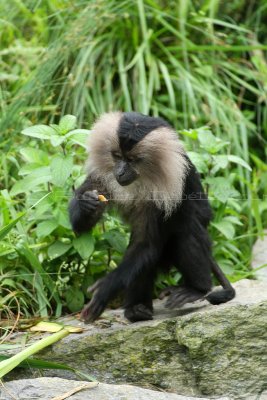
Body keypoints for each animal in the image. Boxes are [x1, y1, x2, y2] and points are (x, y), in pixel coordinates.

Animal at [69, 111, 237, 324]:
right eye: (117, 156)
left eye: (132, 159)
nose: (120, 172)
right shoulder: (103, 177)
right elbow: (80, 227)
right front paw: (86, 203)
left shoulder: (163, 194)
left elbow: (147, 243)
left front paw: (106, 288)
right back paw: (136, 310)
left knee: (186, 229)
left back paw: (197, 288)